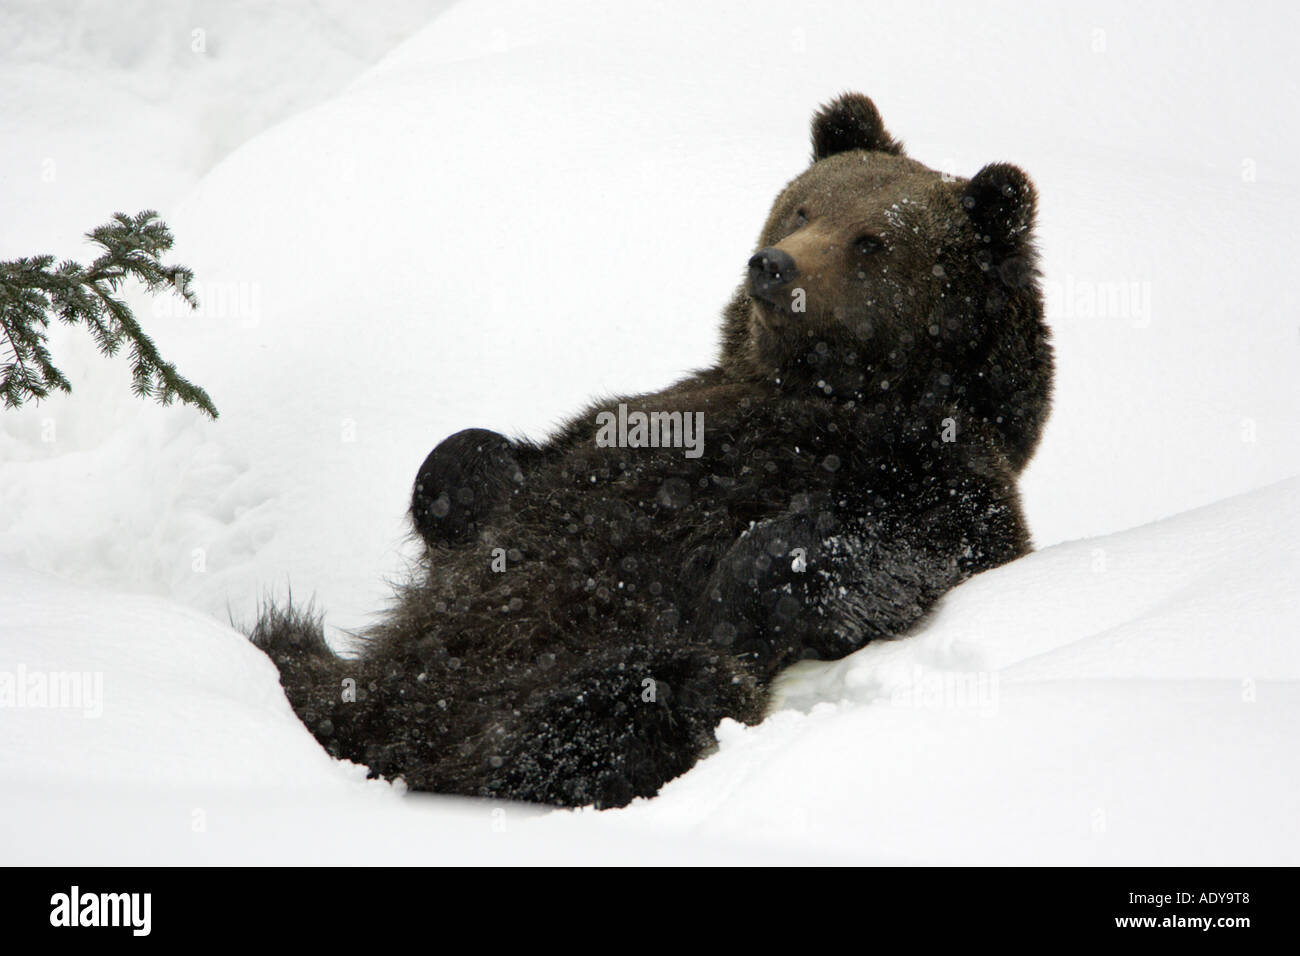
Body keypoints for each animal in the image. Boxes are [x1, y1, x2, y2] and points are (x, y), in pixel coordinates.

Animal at [252, 93, 1052, 809]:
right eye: (805, 207)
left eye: (873, 241)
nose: (773, 266)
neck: (829, 389)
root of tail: (378, 719)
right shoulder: (655, 412)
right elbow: (484, 461)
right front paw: (462, 479)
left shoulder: (935, 471)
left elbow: (889, 543)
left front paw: (741, 584)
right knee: (296, 652)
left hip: (582, 680)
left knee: (625, 703)